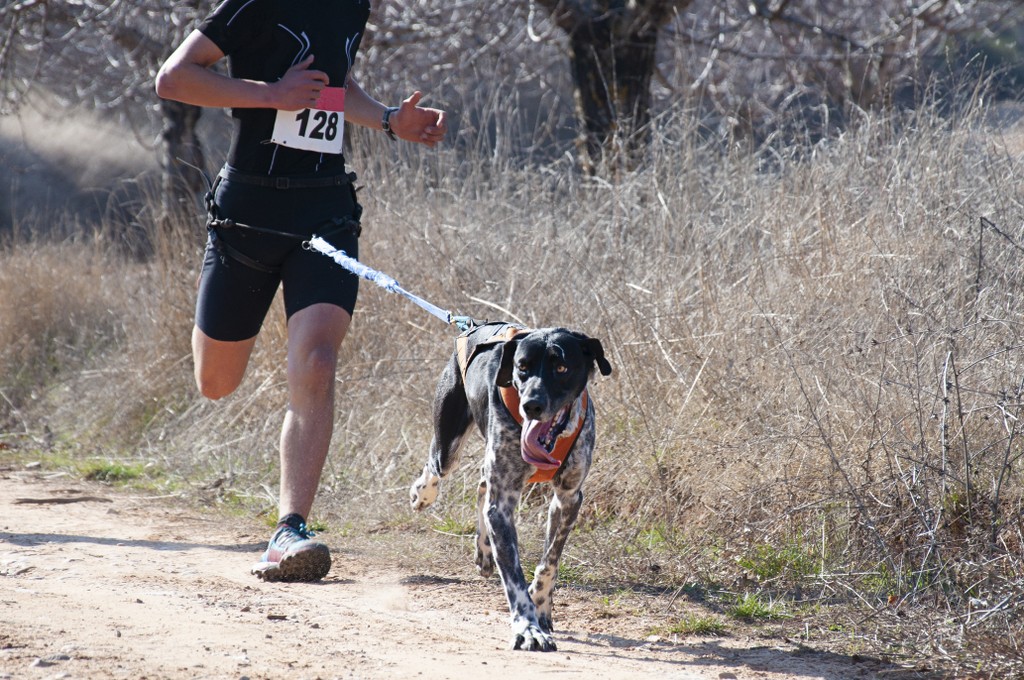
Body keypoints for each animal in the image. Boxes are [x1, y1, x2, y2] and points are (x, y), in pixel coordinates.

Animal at [409, 323, 614, 655]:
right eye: (522, 367)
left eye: (561, 367)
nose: (531, 405)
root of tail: (473, 327)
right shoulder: (503, 503)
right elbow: (514, 578)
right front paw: (528, 628)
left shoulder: (568, 499)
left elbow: (549, 562)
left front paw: (541, 605)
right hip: (448, 444)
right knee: (437, 466)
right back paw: (423, 494)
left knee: (482, 483)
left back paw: (484, 550)